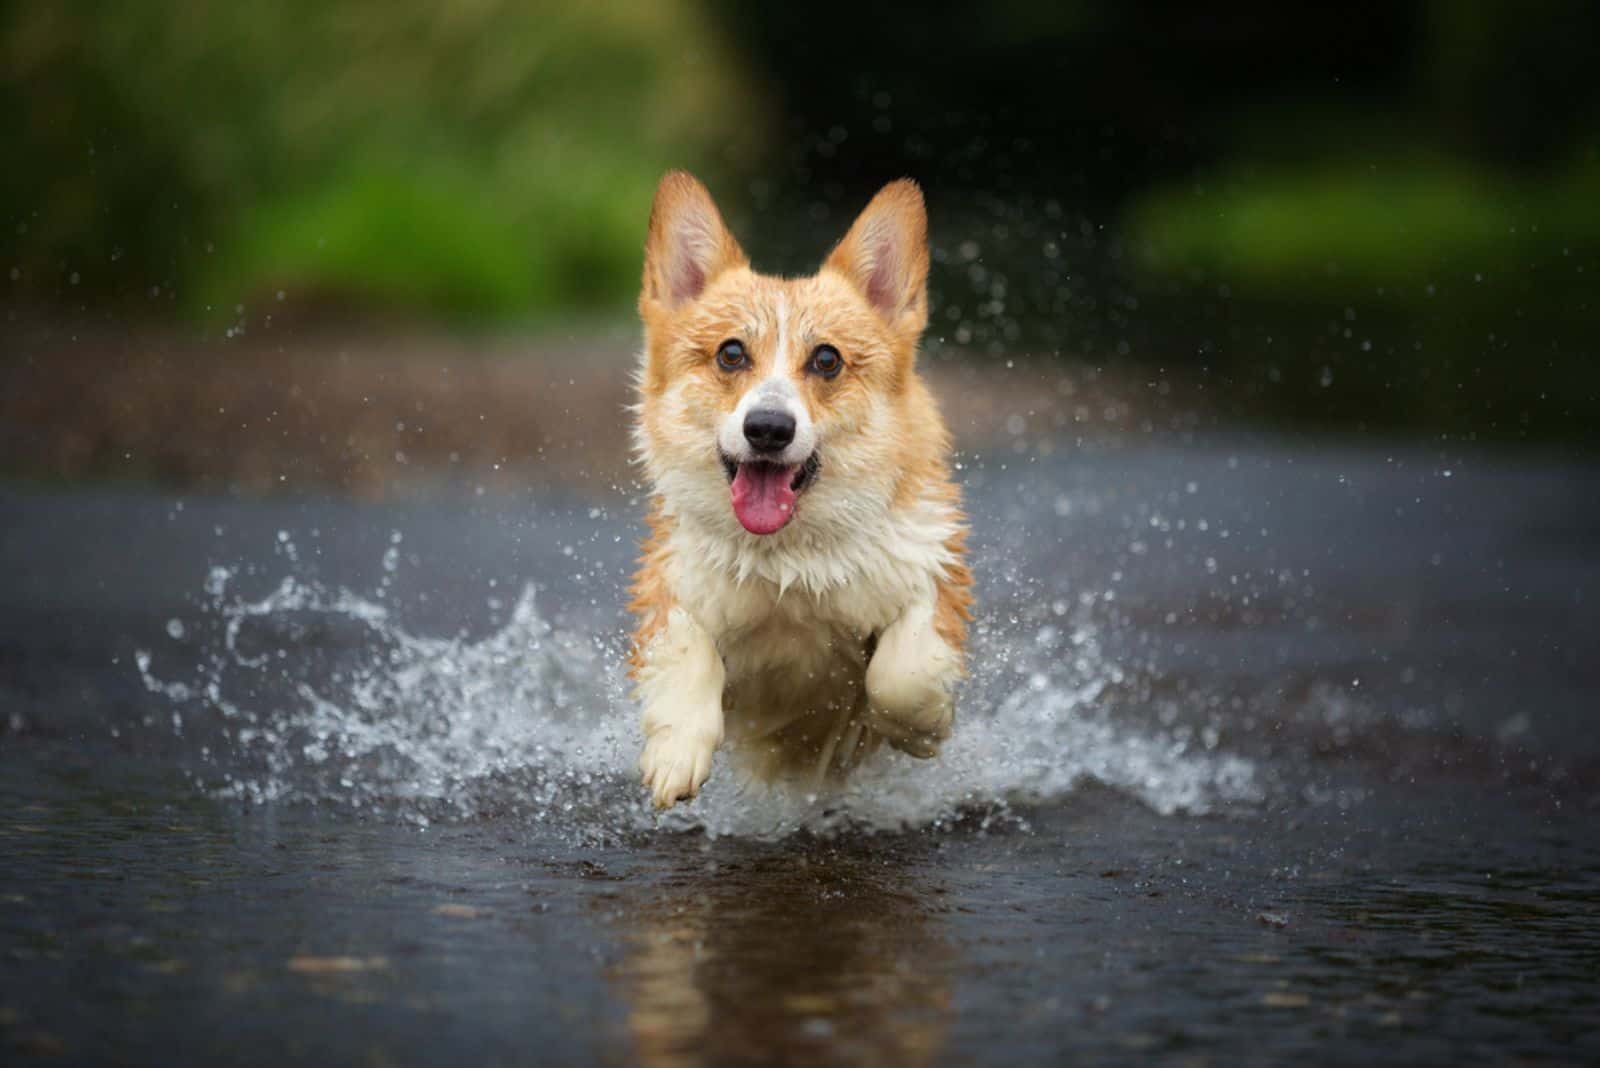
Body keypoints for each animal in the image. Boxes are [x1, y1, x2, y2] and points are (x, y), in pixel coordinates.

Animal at [630, 173, 966, 808]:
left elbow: (900, 675)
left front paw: (927, 727)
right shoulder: (670, 580)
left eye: (827, 359)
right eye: (731, 353)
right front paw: (675, 752)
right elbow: (687, 649)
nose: (767, 428)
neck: (788, 558)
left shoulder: (932, 572)